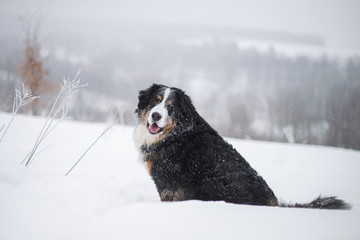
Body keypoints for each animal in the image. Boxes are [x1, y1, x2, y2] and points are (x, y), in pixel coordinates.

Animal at [134, 84, 350, 210]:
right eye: (155, 101)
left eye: (170, 107)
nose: (156, 115)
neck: (175, 135)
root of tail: (274, 204)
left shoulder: (170, 183)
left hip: (211, 184)